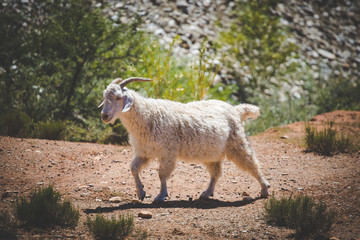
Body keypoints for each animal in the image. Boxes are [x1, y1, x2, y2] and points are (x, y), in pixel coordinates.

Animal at [100, 77, 268, 202]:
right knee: (216, 172)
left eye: (118, 97)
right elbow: (133, 168)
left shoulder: (167, 152)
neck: (148, 116)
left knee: (252, 163)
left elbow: (161, 174)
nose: (104, 116)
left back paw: (264, 189)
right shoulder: (144, 152)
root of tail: (236, 110)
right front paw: (141, 192)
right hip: (211, 152)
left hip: (236, 142)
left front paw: (161, 195)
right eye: (104, 97)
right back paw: (207, 192)